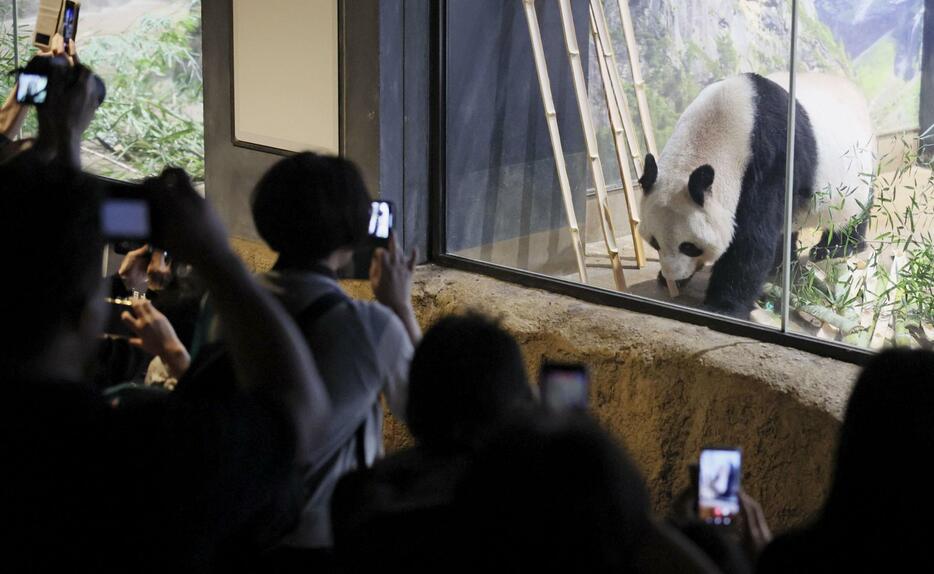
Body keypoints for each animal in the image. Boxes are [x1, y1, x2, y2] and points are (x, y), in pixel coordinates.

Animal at [640, 72, 872, 320]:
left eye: (689, 246)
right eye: (654, 242)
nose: (674, 276)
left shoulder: (771, 161)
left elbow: (752, 240)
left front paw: (722, 306)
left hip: (854, 179)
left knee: (851, 216)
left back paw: (834, 249)